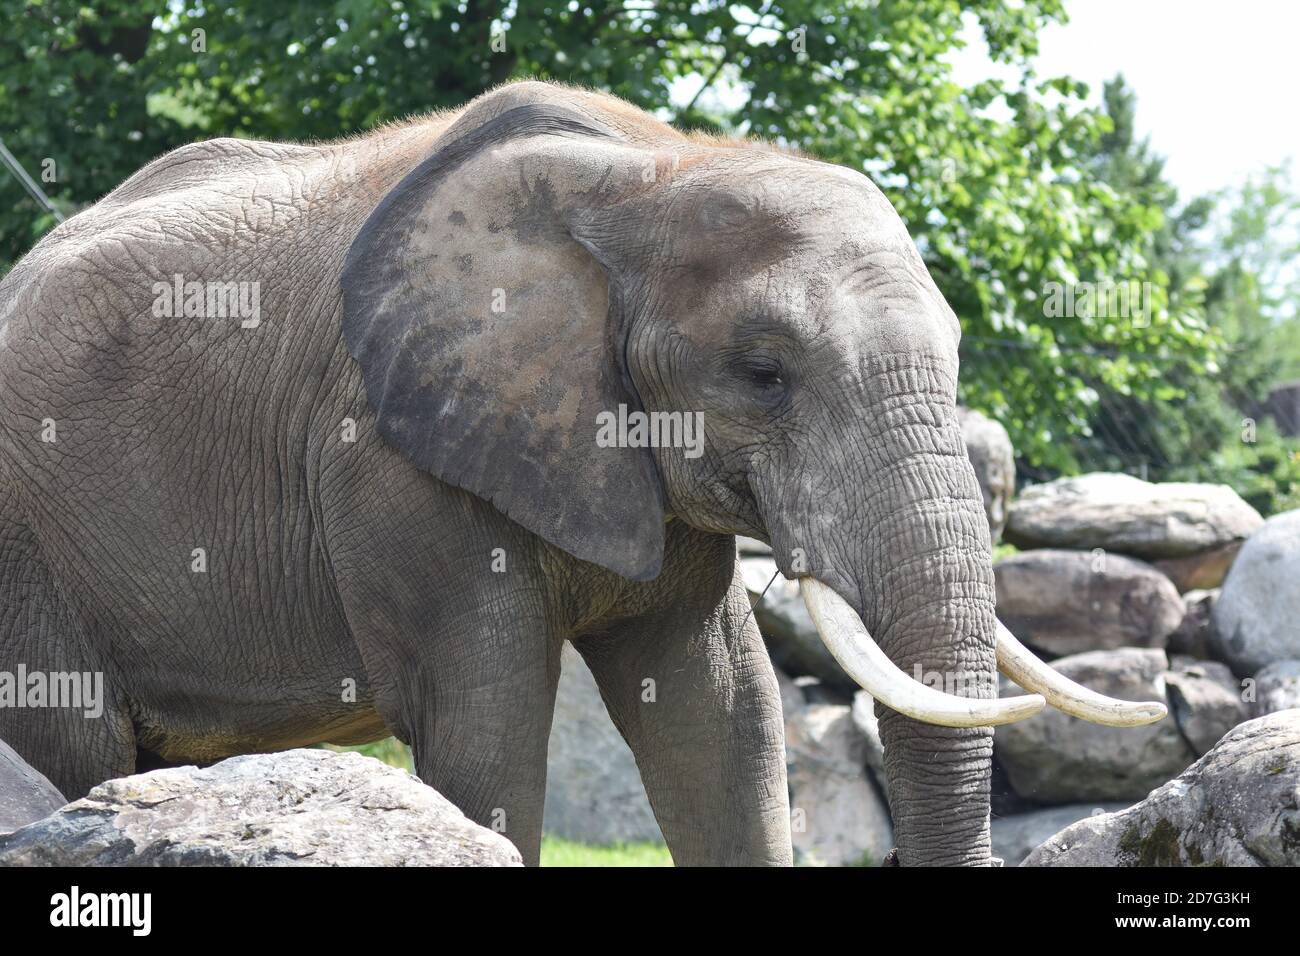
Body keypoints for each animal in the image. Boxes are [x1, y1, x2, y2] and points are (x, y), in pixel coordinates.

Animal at [0, 80, 1159, 868]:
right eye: (765, 374)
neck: (657, 169)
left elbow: (724, 711)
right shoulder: (389, 458)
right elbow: (486, 724)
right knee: (78, 746)